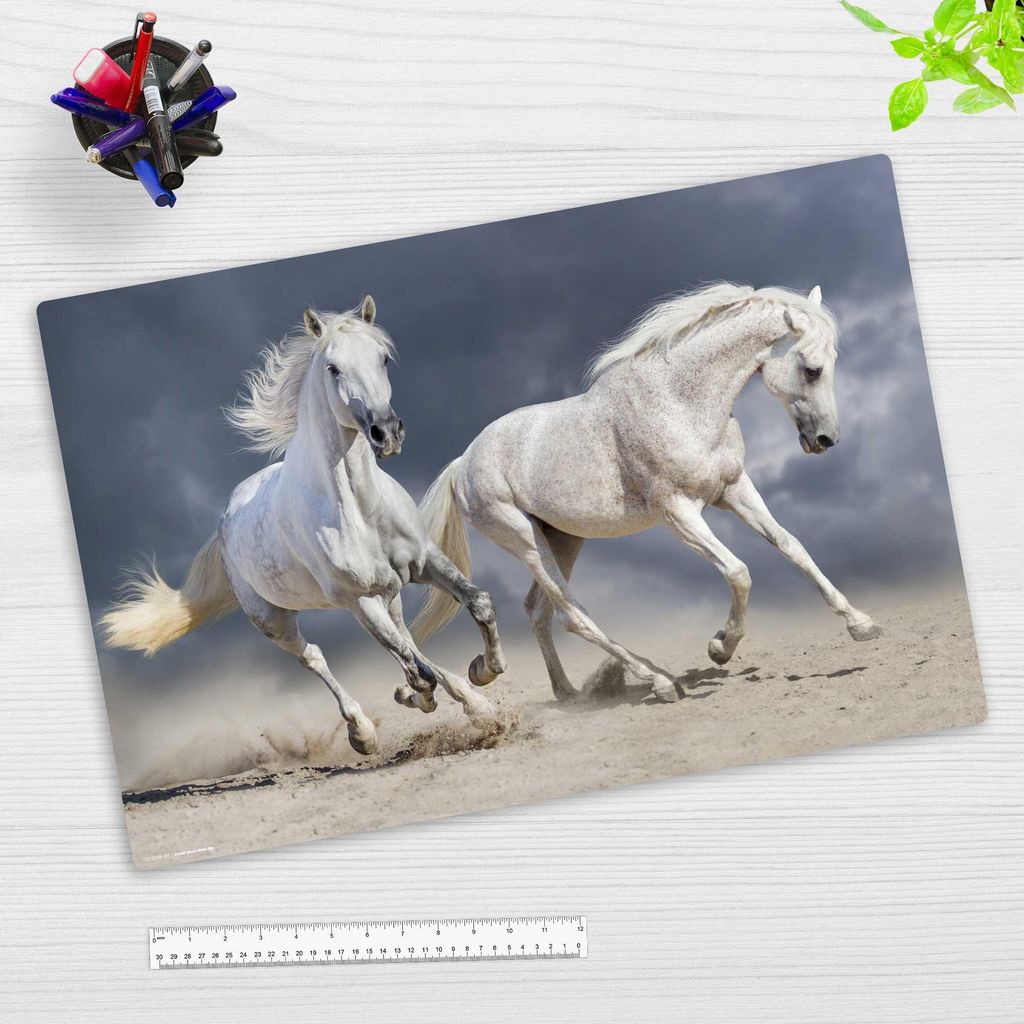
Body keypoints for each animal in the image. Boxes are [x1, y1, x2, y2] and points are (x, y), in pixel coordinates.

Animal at [100, 295, 508, 755]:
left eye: (383, 358)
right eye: (333, 368)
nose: (386, 433)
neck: (360, 509)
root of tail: (226, 518)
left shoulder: (424, 561)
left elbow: (477, 603)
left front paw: (482, 673)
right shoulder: (360, 600)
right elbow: (413, 665)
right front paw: (443, 698)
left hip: (387, 595)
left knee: (406, 640)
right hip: (274, 620)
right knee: (315, 655)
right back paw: (363, 732)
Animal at [412, 282, 881, 704]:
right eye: (812, 369)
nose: (826, 440)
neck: (680, 400)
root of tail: (462, 463)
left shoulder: (733, 489)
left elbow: (792, 546)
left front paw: (861, 623)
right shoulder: (678, 512)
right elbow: (738, 571)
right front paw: (720, 647)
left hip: (563, 539)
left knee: (538, 611)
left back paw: (564, 692)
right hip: (524, 540)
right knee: (572, 616)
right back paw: (659, 682)